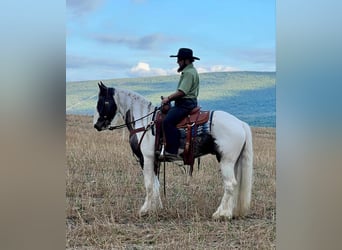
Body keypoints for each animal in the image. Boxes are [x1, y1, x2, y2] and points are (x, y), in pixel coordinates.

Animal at [92, 81, 252, 219]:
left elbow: (148, 184)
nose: (97, 125)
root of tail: (240, 123)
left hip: (226, 160)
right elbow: (156, 184)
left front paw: (145, 210)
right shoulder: (155, 160)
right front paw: (156, 208)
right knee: (234, 185)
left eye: (103, 102)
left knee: (230, 184)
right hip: (232, 161)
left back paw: (221, 214)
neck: (145, 122)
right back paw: (228, 212)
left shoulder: (146, 159)